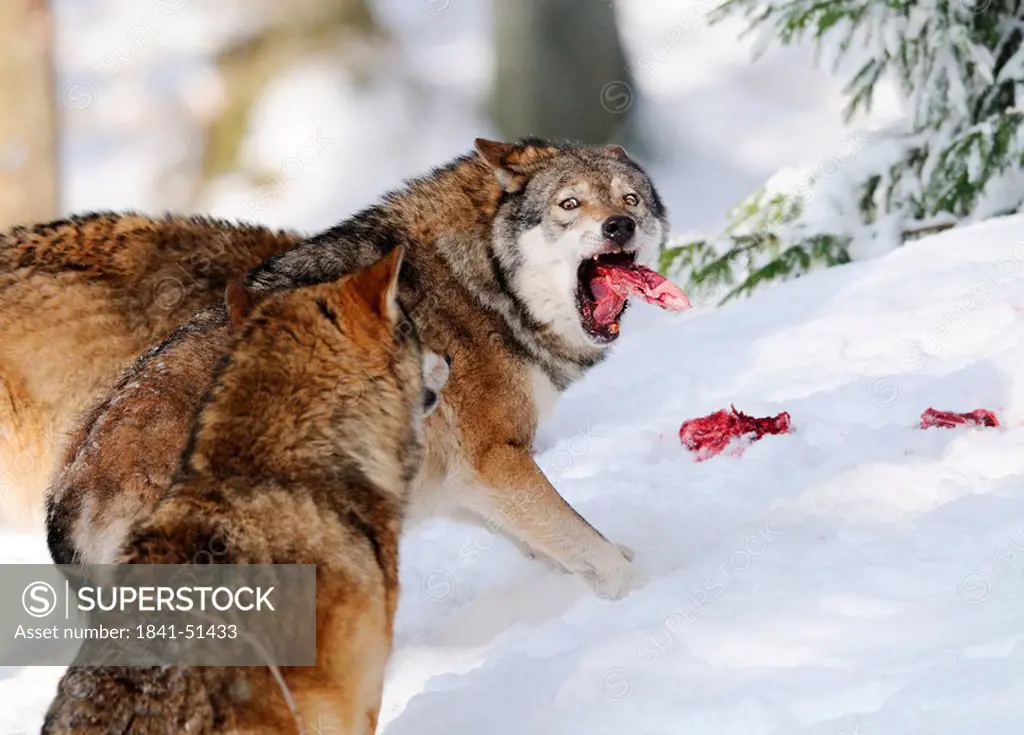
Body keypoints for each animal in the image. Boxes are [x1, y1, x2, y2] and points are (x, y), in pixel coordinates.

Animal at [24, 138, 671, 597]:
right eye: (570, 204)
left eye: (631, 199)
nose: (619, 225)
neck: (480, 279)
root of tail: (71, 489)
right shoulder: (495, 462)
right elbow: (589, 545)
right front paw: (642, 591)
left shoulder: (457, 485)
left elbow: (562, 547)